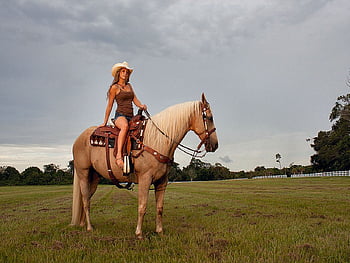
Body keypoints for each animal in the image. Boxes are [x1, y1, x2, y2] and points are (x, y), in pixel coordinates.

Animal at [69, 94, 217, 240]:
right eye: (209, 118)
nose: (215, 145)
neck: (158, 141)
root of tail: (78, 139)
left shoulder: (162, 181)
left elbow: (160, 207)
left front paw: (159, 231)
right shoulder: (145, 179)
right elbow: (142, 206)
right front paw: (139, 233)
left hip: (94, 177)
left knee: (87, 199)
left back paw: (83, 224)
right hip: (83, 173)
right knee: (85, 200)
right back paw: (89, 227)